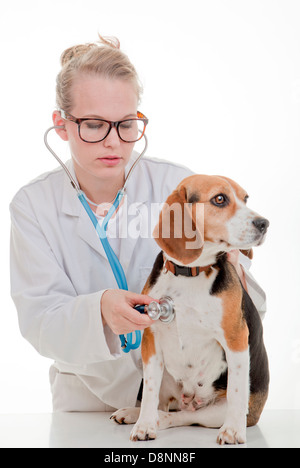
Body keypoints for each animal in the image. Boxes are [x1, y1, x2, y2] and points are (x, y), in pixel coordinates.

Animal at [111, 174, 270, 444]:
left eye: (246, 198)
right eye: (220, 199)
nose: (264, 223)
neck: (191, 273)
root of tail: (189, 399)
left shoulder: (236, 339)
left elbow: (237, 390)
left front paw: (233, 430)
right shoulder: (151, 339)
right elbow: (150, 392)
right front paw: (144, 425)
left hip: (215, 412)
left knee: (184, 416)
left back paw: (164, 419)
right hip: (164, 373)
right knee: (164, 404)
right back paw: (136, 414)